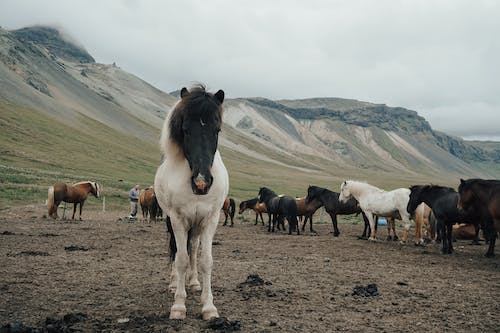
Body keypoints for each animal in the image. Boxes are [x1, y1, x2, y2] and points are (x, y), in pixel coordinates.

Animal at [154, 85, 229, 320]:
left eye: (217, 130)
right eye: (185, 130)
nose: (202, 182)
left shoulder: (210, 219)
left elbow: (206, 260)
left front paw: (209, 306)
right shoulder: (177, 219)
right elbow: (181, 259)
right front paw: (178, 305)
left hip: (196, 225)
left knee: (194, 248)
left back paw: (194, 283)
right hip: (172, 220)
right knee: (177, 249)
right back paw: (173, 284)